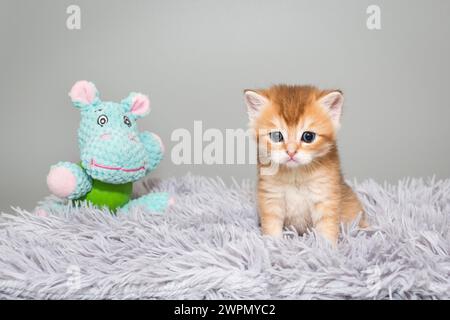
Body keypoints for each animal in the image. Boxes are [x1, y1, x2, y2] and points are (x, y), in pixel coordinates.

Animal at [244, 84, 368, 244]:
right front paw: (273, 245)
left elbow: (326, 228)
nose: (291, 152)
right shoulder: (271, 197)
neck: (296, 174)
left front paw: (326, 248)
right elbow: (272, 227)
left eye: (308, 136)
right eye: (276, 136)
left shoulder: (325, 196)